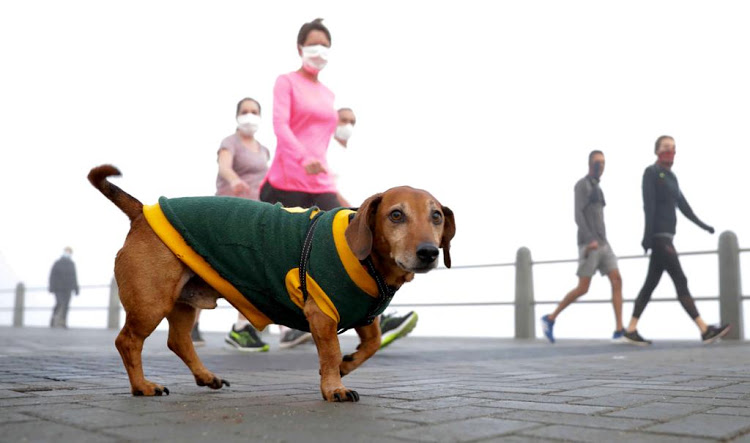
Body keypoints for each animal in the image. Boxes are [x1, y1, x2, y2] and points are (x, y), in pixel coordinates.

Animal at [89, 166, 458, 402]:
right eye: (396, 215)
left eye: (436, 216)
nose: (428, 252)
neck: (373, 265)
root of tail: (142, 212)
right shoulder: (323, 314)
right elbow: (330, 352)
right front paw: (334, 386)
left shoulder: (363, 316)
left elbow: (373, 344)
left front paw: (347, 365)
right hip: (152, 303)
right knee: (127, 341)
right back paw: (142, 386)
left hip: (182, 301)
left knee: (178, 341)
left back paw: (205, 376)